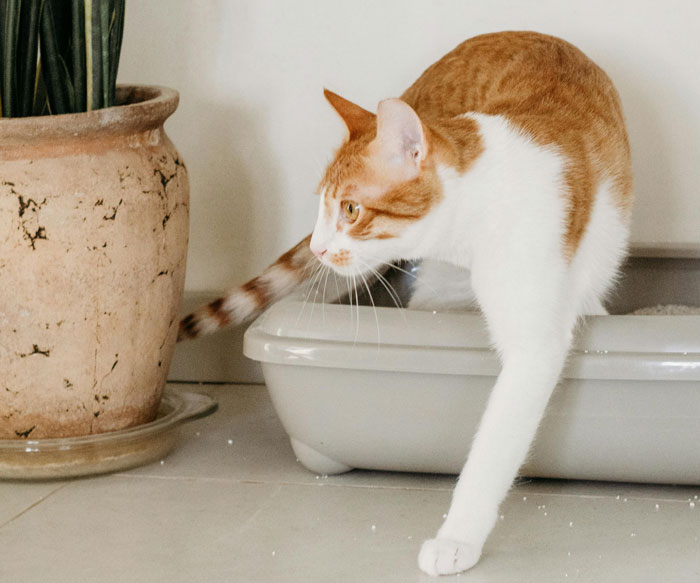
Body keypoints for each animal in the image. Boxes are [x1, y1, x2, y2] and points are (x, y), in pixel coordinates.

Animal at [178, 30, 632, 576]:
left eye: (351, 209)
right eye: (321, 207)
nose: (318, 247)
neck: (477, 216)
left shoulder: (536, 344)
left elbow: (493, 446)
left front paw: (457, 536)